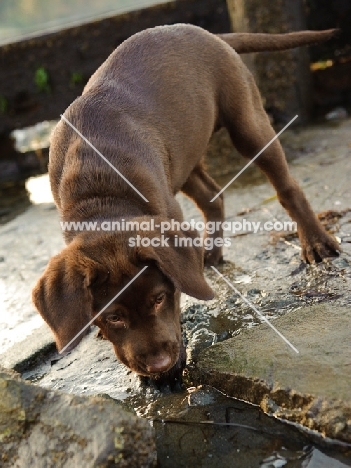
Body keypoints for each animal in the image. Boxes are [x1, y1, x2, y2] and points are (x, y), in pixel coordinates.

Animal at [32, 23, 340, 384]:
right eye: (113, 318)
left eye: (159, 299)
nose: (159, 365)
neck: (100, 193)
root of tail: (208, 34)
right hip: (185, 155)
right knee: (213, 196)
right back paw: (211, 253)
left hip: (246, 123)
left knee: (286, 187)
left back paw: (316, 243)